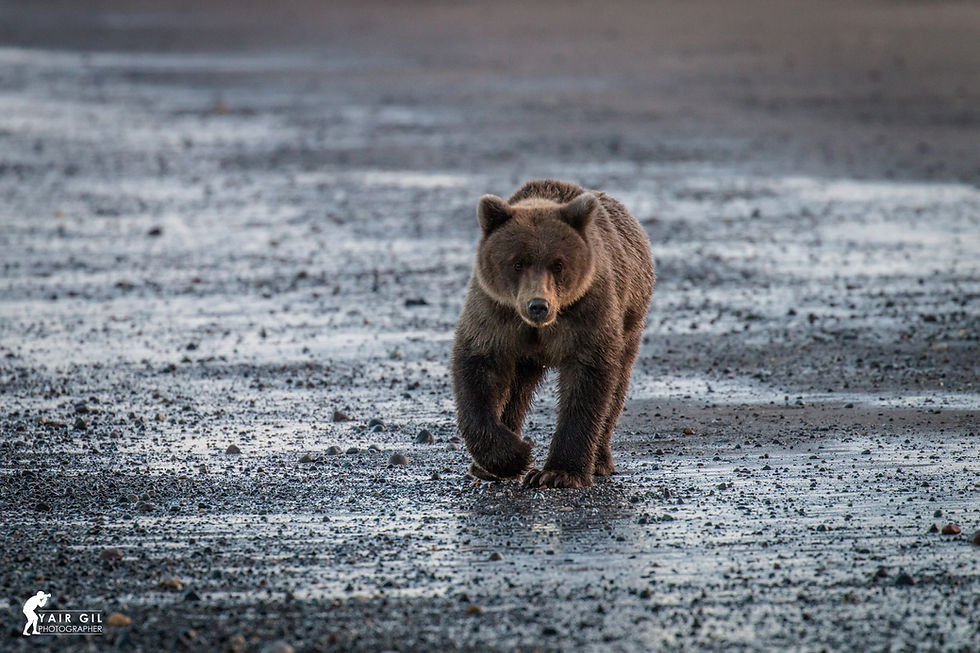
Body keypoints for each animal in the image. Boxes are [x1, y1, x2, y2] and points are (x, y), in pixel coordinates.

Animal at [451, 179, 655, 488]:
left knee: (617, 386)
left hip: (630, 320)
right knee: (517, 390)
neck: (539, 329)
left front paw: (558, 472)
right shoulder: (494, 315)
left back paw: (600, 460)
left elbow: (587, 383)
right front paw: (515, 454)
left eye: (558, 264)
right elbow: (478, 372)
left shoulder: (587, 314)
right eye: (517, 263)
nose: (538, 305)